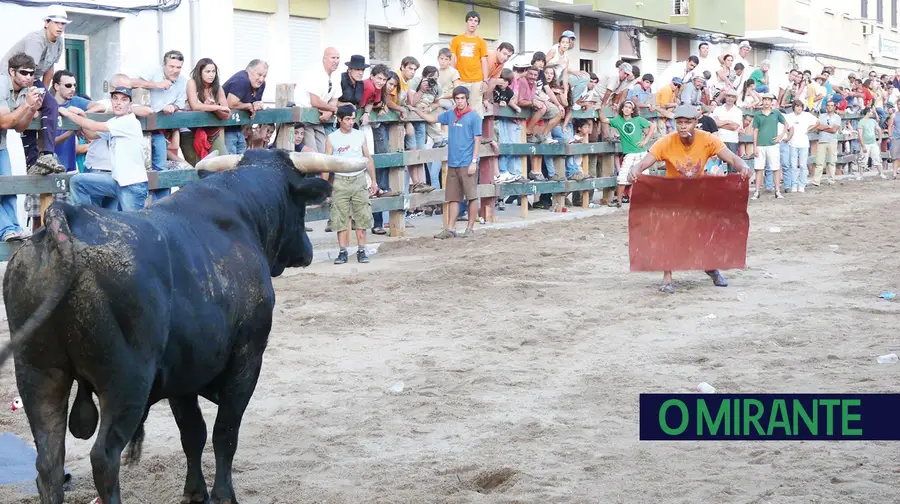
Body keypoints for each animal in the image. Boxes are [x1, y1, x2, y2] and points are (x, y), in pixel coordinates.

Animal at [0, 148, 366, 502]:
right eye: (301, 204)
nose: (306, 251)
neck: (242, 214)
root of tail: (66, 218)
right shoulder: (247, 357)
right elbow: (224, 432)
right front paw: (222, 495)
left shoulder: (183, 374)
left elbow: (193, 433)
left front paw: (194, 491)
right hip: (126, 382)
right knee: (104, 457)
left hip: (39, 374)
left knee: (49, 463)